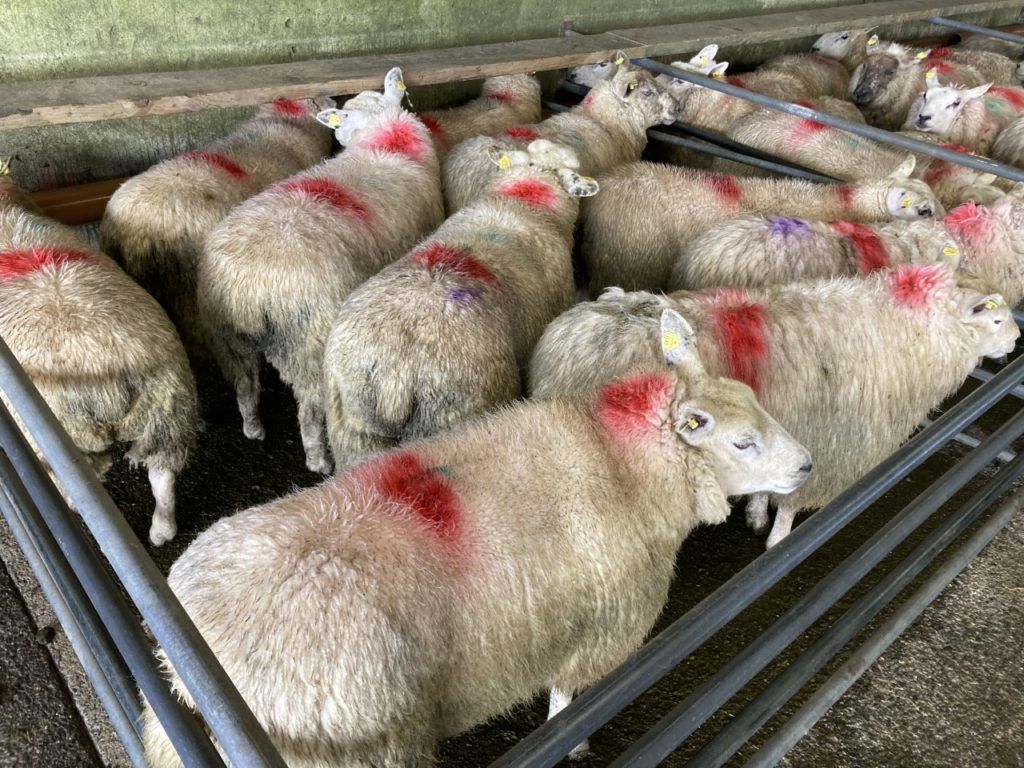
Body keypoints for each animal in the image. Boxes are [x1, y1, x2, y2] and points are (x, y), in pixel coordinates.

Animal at [0, 207, 198, 546]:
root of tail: (108, 376)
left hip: (65, 438)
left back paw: (73, 504)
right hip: (167, 414)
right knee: (163, 474)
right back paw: (161, 530)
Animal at [140, 324, 811, 768]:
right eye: (744, 443)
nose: (808, 465)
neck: (622, 464)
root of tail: (194, 668)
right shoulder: (596, 629)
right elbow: (570, 697)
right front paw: (576, 741)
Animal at [198, 68, 444, 475]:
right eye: (344, 117)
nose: (337, 136)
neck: (386, 138)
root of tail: (250, 287)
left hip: (228, 338)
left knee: (246, 389)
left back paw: (253, 429)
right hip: (307, 345)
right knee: (310, 413)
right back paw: (318, 461)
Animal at [529, 266, 1018, 548]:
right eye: (996, 318)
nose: (1016, 343)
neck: (910, 332)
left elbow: (769, 482)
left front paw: (756, 512)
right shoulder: (830, 441)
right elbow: (791, 501)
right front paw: (777, 538)